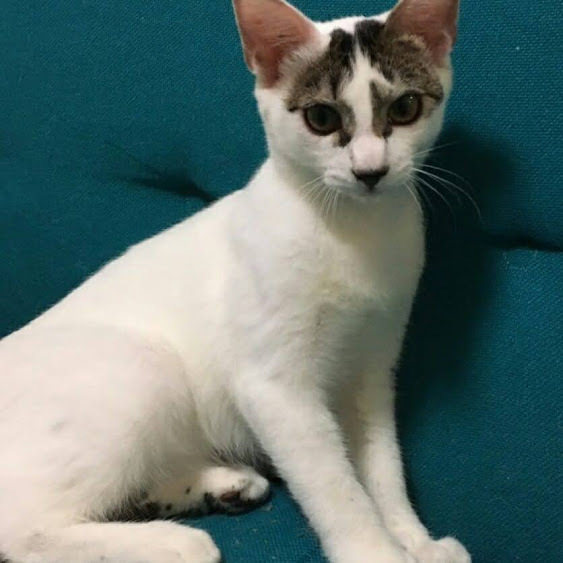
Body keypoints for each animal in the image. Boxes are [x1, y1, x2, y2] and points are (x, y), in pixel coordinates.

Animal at [0, 0, 471, 562]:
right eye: (321, 118)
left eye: (404, 109)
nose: (369, 171)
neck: (354, 233)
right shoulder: (275, 387)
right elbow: (336, 487)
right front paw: (375, 551)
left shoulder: (372, 369)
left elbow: (382, 466)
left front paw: (413, 539)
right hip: (143, 366)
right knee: (19, 527)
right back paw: (173, 541)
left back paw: (217, 486)